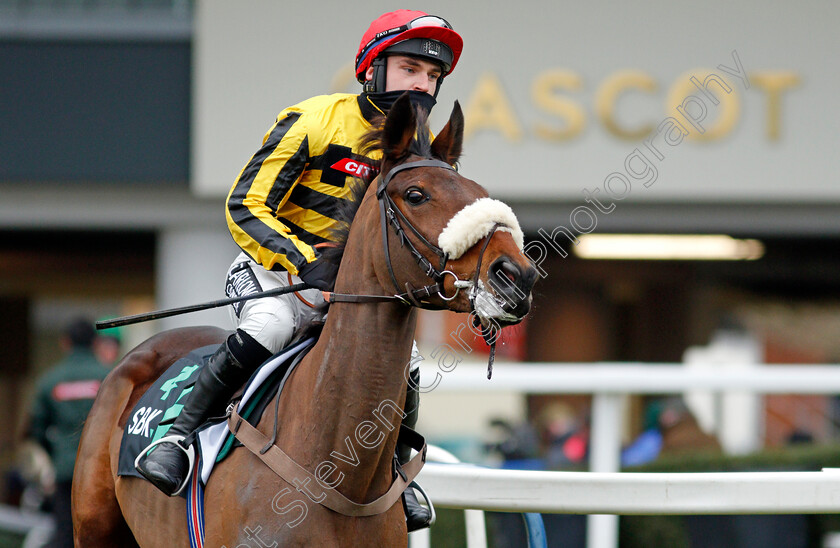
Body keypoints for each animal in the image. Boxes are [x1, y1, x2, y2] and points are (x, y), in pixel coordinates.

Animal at [69, 95, 536, 548]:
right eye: (416, 194)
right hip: (93, 530)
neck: (338, 474)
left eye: (480, 192)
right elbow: (248, 202)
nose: (518, 276)